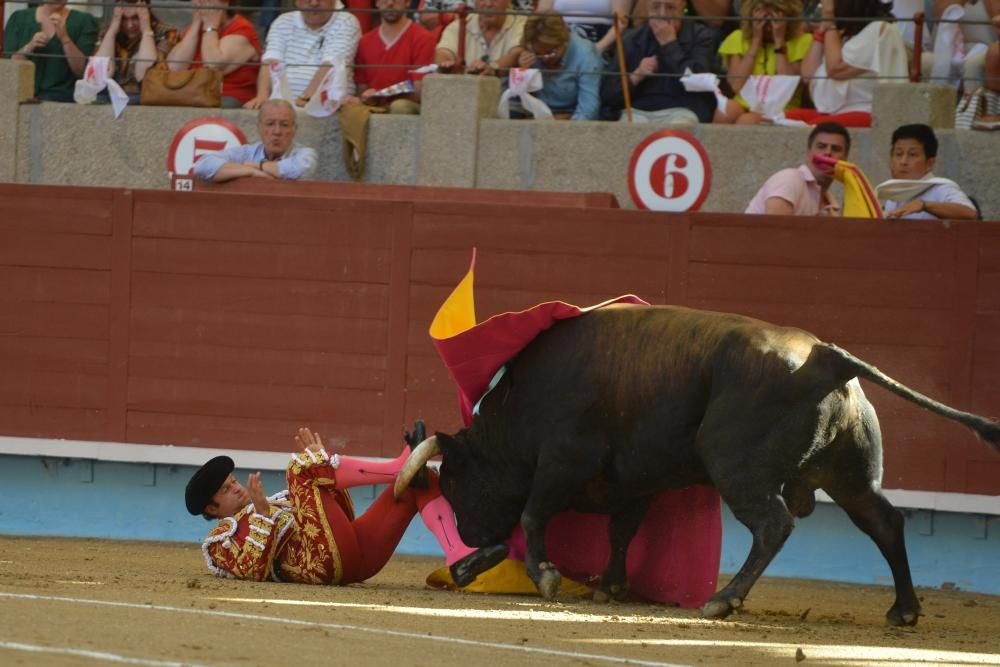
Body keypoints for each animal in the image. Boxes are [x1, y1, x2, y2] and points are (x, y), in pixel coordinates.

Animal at [398, 302, 1000, 628]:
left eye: (456, 480)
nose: (470, 540)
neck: (519, 407)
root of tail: (826, 356)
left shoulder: (565, 458)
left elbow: (534, 511)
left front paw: (546, 576)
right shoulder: (635, 478)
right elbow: (622, 530)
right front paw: (610, 586)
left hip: (736, 464)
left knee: (773, 524)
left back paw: (723, 599)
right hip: (849, 474)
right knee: (883, 521)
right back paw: (904, 610)